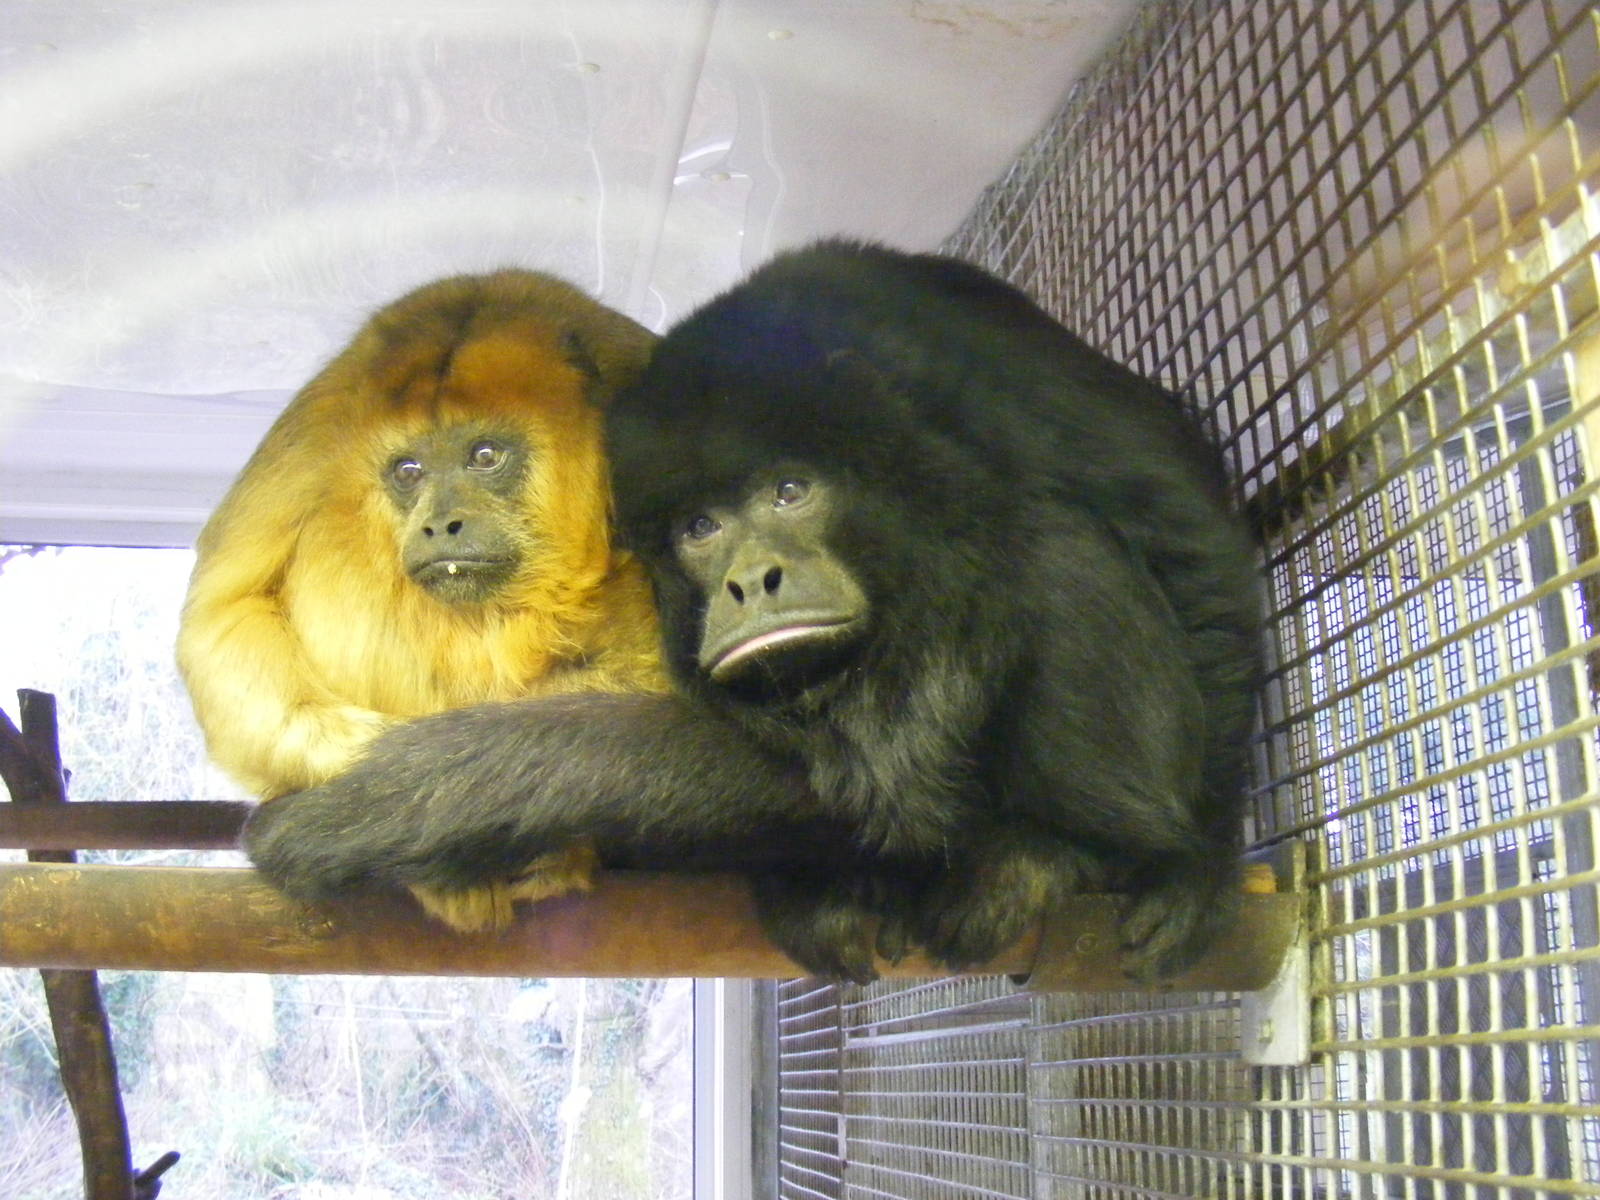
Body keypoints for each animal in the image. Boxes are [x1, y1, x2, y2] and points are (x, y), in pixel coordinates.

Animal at [178, 269, 667, 929]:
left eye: (485, 456)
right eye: (408, 471)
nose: (440, 524)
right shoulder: (316, 425)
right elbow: (223, 613)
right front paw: (384, 768)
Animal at [241, 241, 1264, 983]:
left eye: (790, 491)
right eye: (700, 528)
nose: (749, 580)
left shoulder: (970, 363)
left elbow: (1187, 536)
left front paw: (1202, 864)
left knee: (1062, 544)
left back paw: (1069, 854)